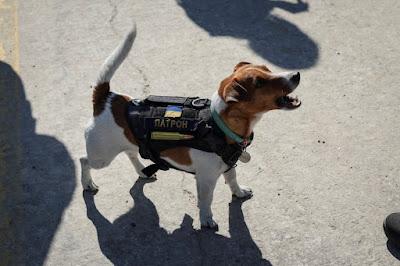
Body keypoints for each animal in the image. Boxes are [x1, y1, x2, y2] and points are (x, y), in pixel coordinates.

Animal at [80, 23, 300, 230]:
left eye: (267, 68)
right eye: (260, 82)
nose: (297, 74)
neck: (218, 125)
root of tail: (107, 98)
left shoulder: (229, 166)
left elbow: (233, 179)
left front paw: (239, 192)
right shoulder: (206, 179)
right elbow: (206, 201)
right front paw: (206, 220)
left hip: (126, 144)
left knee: (131, 153)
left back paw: (142, 171)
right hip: (101, 157)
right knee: (84, 160)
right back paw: (88, 183)